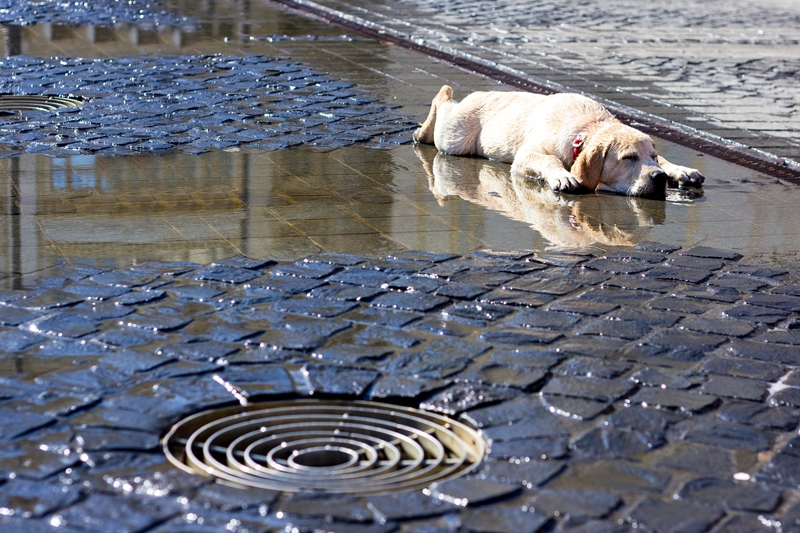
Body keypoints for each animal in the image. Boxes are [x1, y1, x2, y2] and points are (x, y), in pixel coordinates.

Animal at [416, 86, 704, 198]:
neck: (587, 128)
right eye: (628, 158)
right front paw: (563, 176)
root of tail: (475, 94)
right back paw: (422, 131)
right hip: (454, 137)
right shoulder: (527, 154)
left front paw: (681, 170)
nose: (659, 178)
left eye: (651, 157)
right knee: (442, 101)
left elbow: (667, 160)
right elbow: (549, 158)